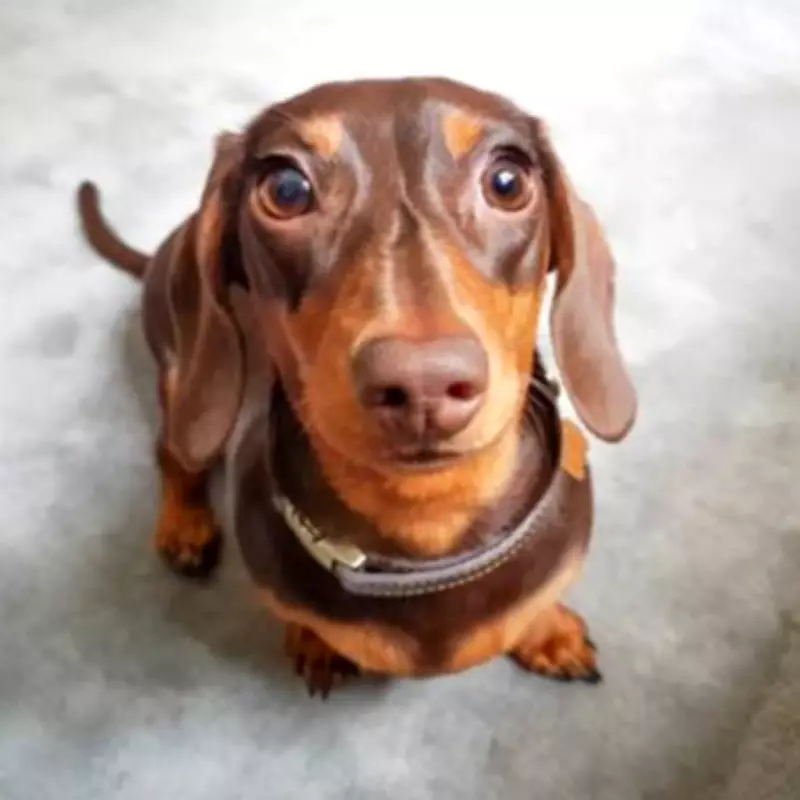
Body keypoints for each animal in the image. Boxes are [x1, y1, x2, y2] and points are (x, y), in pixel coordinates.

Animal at [76, 77, 637, 697]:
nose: (422, 384)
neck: (426, 530)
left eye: (508, 181)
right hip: (189, 388)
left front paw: (547, 632)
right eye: (286, 189)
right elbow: (297, 616)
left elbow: (535, 605)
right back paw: (185, 526)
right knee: (174, 454)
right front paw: (316, 643)